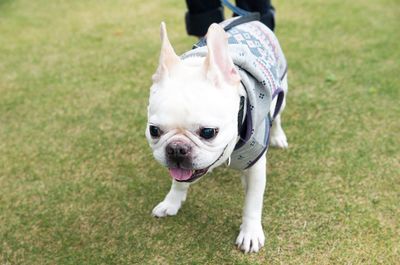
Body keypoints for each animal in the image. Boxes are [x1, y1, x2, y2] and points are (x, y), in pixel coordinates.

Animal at [146, 17, 288, 253]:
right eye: (154, 130)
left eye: (208, 132)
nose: (176, 149)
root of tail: (255, 20)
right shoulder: (180, 170)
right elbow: (178, 182)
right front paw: (171, 202)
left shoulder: (256, 165)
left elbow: (253, 201)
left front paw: (250, 232)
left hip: (281, 94)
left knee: (276, 117)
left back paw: (278, 136)